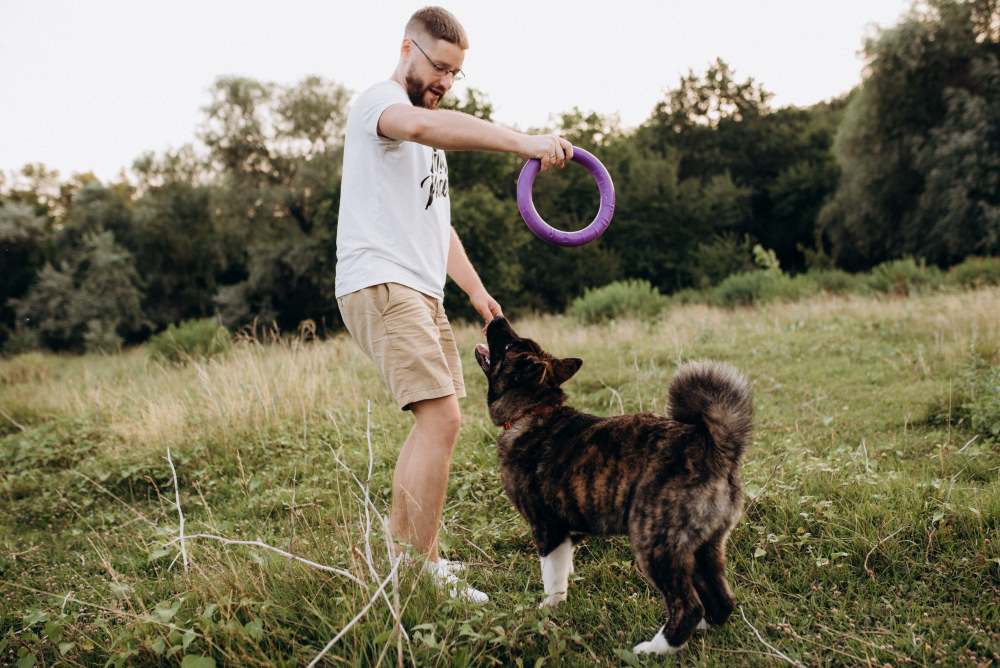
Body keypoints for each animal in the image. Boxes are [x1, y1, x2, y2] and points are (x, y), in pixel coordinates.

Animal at [474, 316, 752, 656]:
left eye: (509, 345)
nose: (497, 318)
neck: (533, 412)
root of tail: (715, 447)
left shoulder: (547, 528)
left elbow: (552, 577)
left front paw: (549, 609)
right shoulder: (567, 531)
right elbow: (564, 565)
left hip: (655, 543)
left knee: (688, 605)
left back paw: (656, 648)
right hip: (703, 546)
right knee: (721, 600)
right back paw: (698, 630)